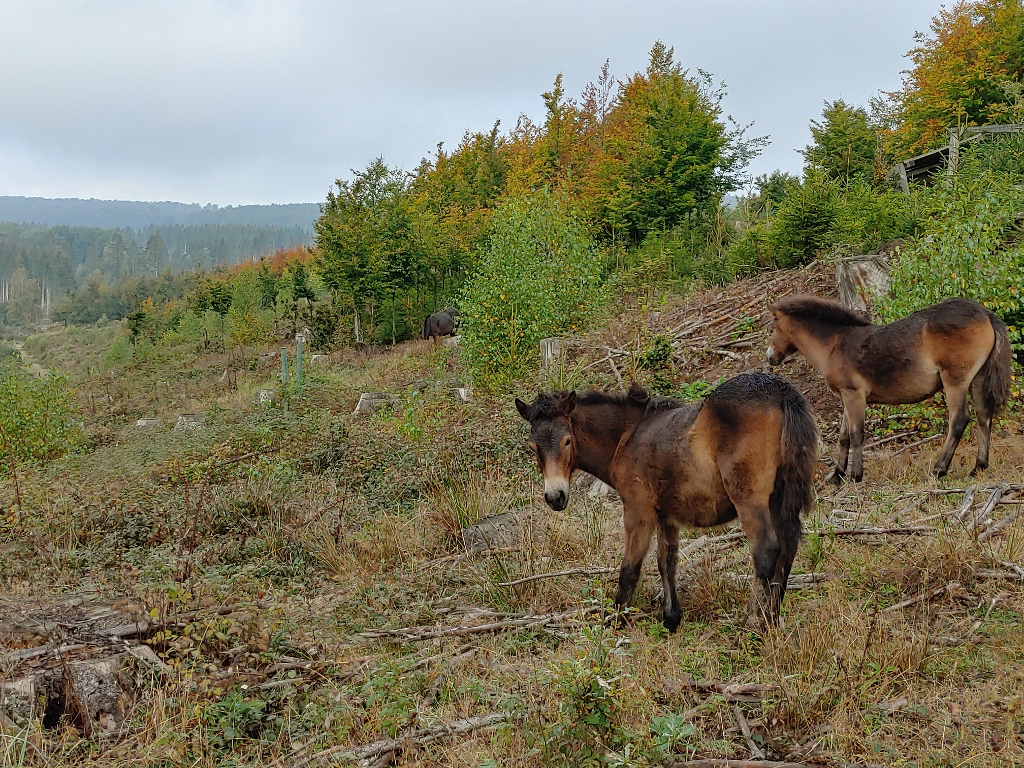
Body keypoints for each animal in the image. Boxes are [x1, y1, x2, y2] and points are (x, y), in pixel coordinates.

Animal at [516, 372, 819, 630]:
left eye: (567, 441)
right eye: (532, 447)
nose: (555, 497)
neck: (627, 436)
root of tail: (780, 392)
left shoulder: (637, 512)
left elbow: (630, 568)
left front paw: (615, 622)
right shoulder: (667, 516)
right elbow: (667, 561)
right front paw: (671, 618)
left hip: (750, 500)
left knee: (766, 553)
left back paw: (754, 624)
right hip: (781, 500)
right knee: (787, 549)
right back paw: (773, 620)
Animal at [765, 296, 1011, 483]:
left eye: (772, 329)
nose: (770, 358)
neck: (835, 344)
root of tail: (985, 314)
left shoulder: (854, 395)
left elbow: (856, 435)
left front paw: (855, 475)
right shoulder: (846, 397)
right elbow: (844, 436)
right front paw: (836, 475)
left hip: (955, 382)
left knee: (959, 420)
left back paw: (938, 469)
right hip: (977, 379)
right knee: (984, 417)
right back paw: (978, 467)